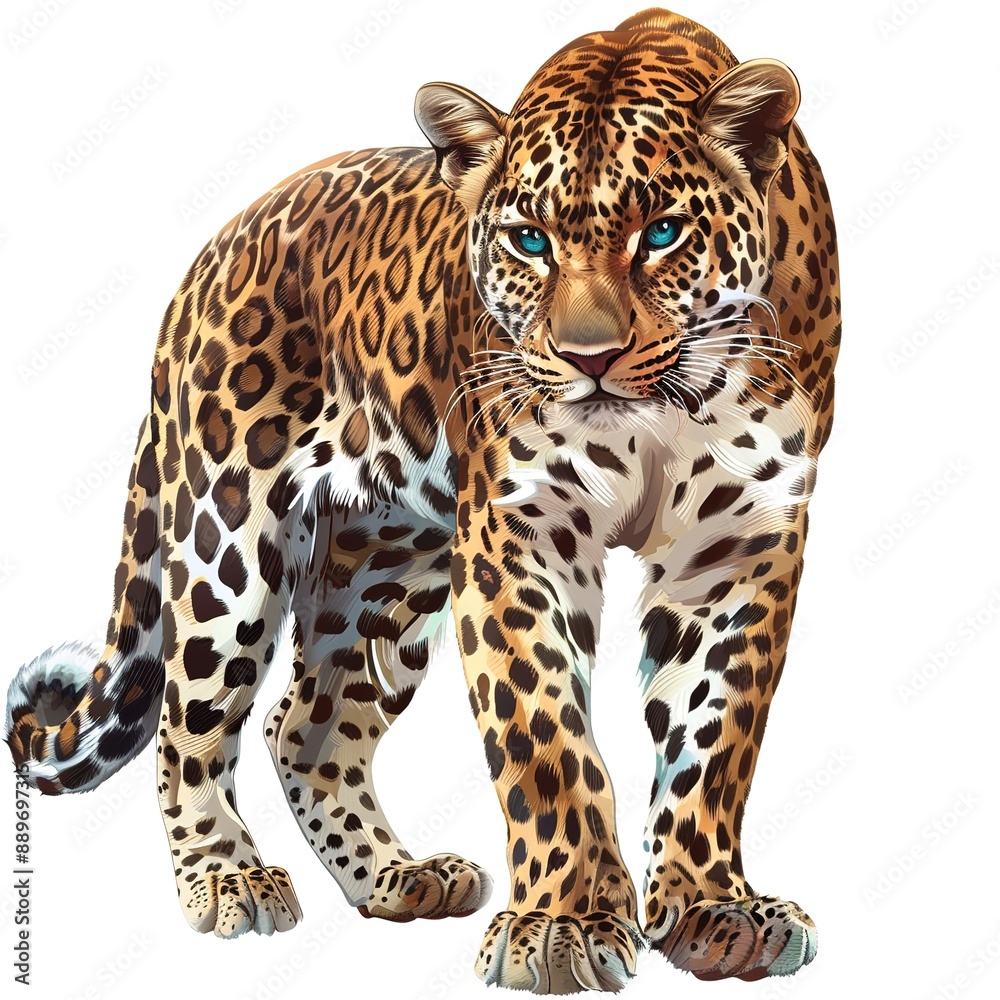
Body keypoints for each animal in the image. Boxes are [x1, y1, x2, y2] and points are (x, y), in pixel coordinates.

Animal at [5, 7, 839, 992]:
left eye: (664, 233)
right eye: (528, 241)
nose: (589, 358)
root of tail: (210, 258)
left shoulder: (739, 540)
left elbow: (715, 734)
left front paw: (715, 909)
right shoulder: (521, 533)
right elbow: (545, 737)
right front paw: (559, 928)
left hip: (387, 566)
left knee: (307, 727)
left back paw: (397, 879)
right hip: (226, 535)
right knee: (189, 718)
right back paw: (228, 878)